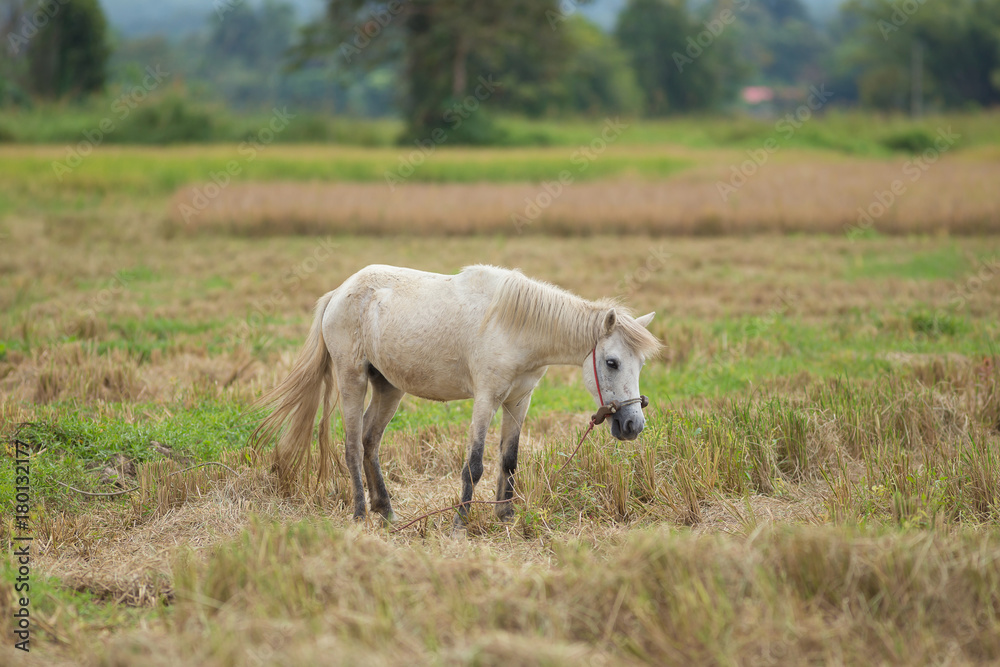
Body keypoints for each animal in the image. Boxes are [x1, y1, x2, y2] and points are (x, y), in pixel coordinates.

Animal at [250, 264, 661, 525]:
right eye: (611, 362)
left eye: (640, 364)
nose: (633, 424)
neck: (517, 325)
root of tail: (339, 292)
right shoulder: (486, 399)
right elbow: (475, 464)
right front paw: (460, 523)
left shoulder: (518, 401)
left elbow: (509, 459)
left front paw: (505, 515)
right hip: (353, 379)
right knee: (352, 446)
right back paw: (360, 513)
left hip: (389, 388)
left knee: (370, 441)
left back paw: (387, 511)